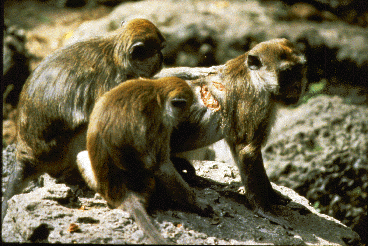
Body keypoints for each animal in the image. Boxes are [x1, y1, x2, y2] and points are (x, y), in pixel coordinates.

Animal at [1, 18, 165, 223]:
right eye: (158, 50)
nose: (162, 57)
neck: (117, 55)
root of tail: (25, 153)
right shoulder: (114, 81)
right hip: (59, 154)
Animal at [80, 77, 213, 244]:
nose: (182, 120)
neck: (157, 92)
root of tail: (117, 193)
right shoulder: (160, 121)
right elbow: (160, 166)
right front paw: (197, 204)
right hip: (144, 184)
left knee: (81, 156)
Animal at [154, 38, 306, 229]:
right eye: (287, 73)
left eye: (299, 71)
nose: (298, 86)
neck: (254, 75)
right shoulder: (256, 101)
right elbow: (248, 151)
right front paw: (264, 209)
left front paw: (272, 195)